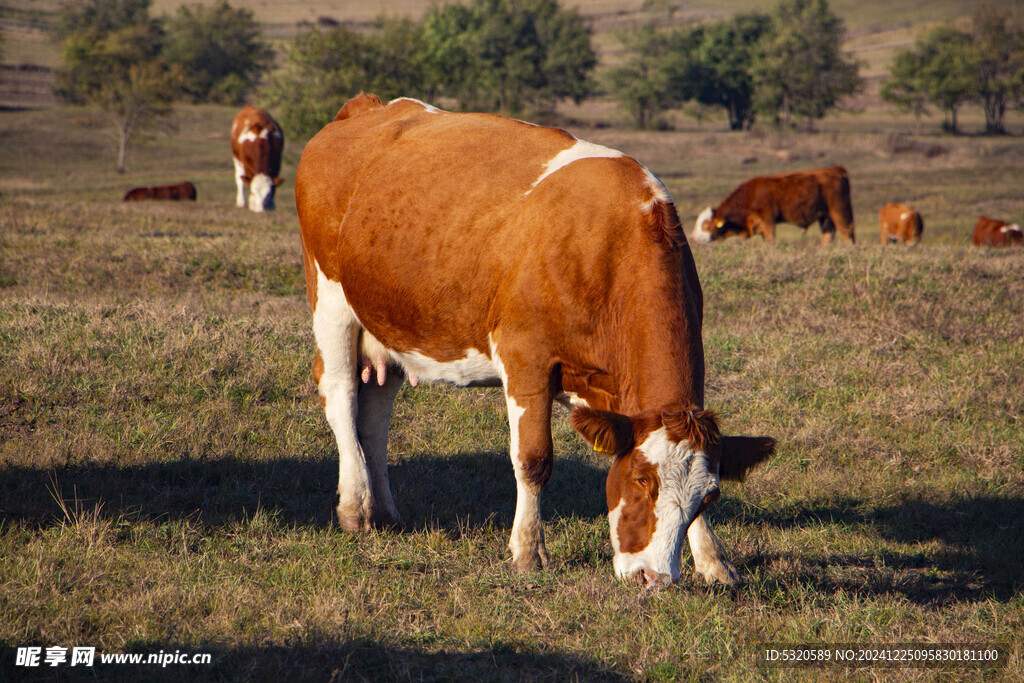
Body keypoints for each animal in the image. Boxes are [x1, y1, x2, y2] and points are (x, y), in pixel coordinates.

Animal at [296, 93, 774, 589]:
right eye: (642, 479)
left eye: (710, 497)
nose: (654, 578)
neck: (607, 247)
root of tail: (367, 107)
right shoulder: (526, 360)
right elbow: (533, 460)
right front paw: (527, 551)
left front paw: (714, 562)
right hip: (331, 300)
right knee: (341, 394)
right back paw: (355, 508)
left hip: (388, 321)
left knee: (375, 414)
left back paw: (386, 513)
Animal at [688, 165, 856, 245]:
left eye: (706, 225)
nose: (693, 238)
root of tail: (836, 169)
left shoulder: (768, 223)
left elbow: (770, 241)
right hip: (825, 217)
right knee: (828, 234)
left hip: (840, 212)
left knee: (847, 233)